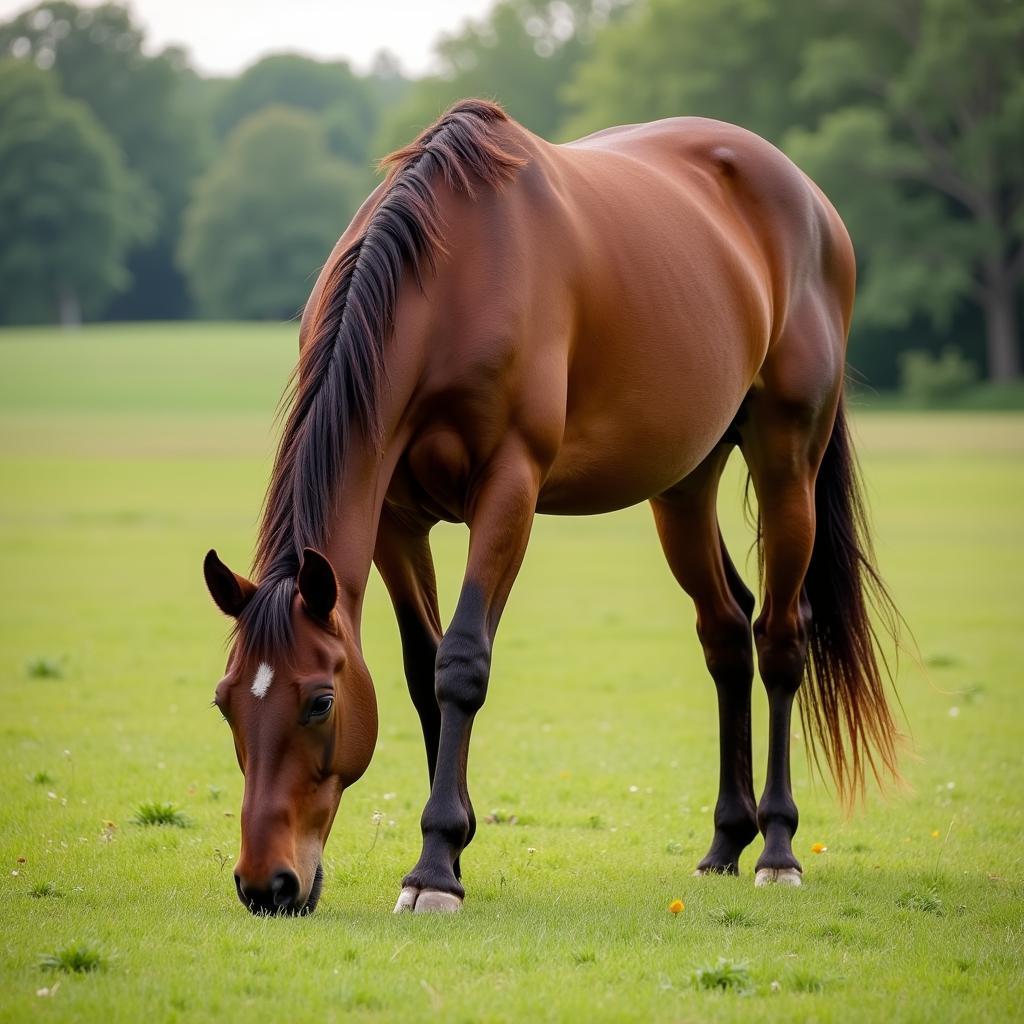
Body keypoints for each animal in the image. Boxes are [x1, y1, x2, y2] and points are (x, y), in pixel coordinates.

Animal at [201, 99, 897, 917]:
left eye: (317, 702)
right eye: (225, 703)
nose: (266, 884)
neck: (453, 280)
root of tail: (810, 198)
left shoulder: (511, 487)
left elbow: (462, 662)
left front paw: (434, 868)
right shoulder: (396, 519)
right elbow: (422, 669)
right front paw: (453, 848)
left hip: (788, 462)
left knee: (781, 639)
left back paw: (778, 848)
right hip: (684, 485)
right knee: (726, 633)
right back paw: (726, 843)